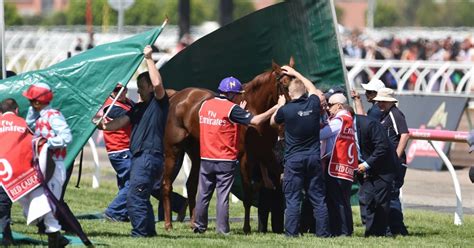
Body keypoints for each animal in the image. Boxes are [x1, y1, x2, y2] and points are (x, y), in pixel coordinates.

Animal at [162, 58, 296, 232]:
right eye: (285, 85)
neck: (255, 109)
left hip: (196, 151)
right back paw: (168, 224)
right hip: (173, 149)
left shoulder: (266, 153)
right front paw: (246, 227)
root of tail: (176, 97)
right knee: (167, 184)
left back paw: (193, 222)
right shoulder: (246, 158)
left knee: (191, 185)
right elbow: (248, 192)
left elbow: (278, 176)